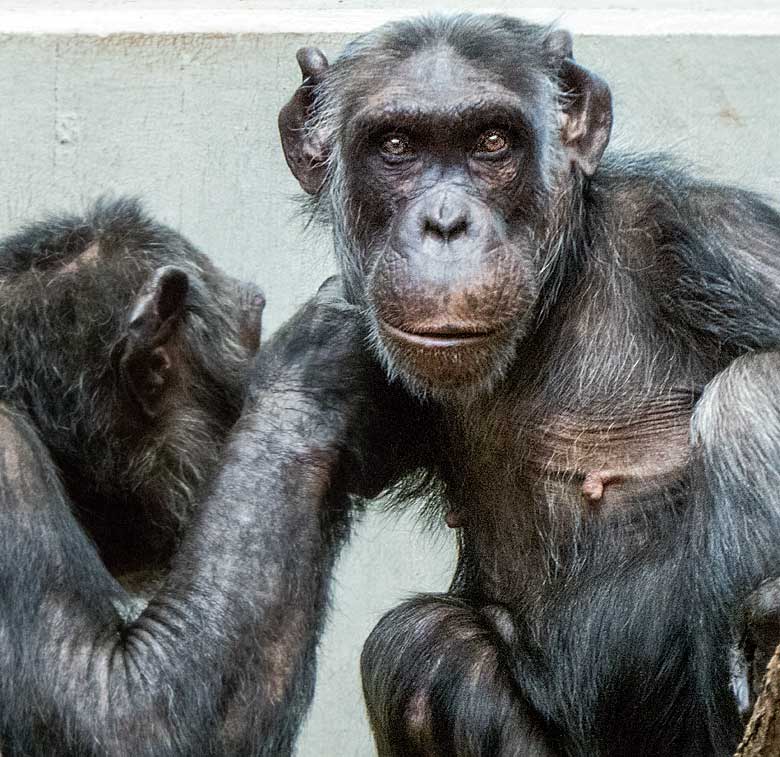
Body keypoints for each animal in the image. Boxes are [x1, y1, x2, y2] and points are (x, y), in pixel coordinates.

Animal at [278, 11, 780, 756]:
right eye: (396, 145)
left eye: (492, 142)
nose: (446, 223)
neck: (557, 294)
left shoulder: (716, 241)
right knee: (418, 646)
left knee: (749, 394)